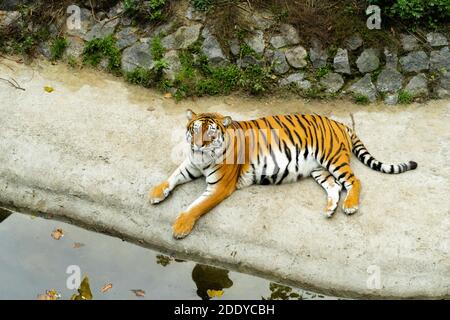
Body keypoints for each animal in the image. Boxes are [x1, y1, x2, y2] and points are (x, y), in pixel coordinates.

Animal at [149, 109, 418, 239]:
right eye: (194, 130)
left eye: (210, 133)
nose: (198, 145)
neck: (202, 159)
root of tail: (339, 123)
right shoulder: (190, 165)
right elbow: (172, 176)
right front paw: (155, 192)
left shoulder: (220, 186)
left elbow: (196, 206)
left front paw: (180, 227)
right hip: (318, 169)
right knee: (334, 186)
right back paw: (330, 209)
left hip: (333, 159)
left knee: (354, 180)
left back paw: (349, 206)